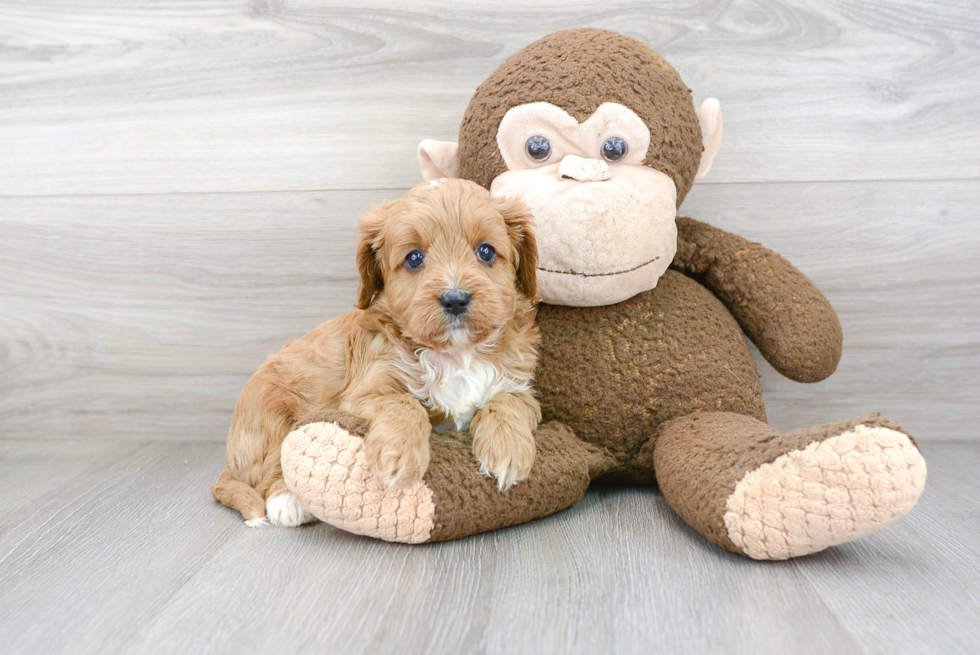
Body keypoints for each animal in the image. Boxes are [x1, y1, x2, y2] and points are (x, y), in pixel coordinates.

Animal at [212, 179, 544, 528]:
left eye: (486, 252)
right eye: (414, 258)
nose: (455, 299)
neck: (457, 354)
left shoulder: (520, 387)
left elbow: (506, 401)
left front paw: (507, 451)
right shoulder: (365, 392)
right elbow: (404, 403)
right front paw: (398, 456)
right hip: (269, 413)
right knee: (271, 465)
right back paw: (286, 501)